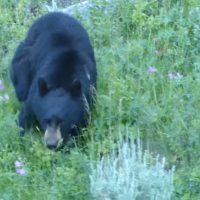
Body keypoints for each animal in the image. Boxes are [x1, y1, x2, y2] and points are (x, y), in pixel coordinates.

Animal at [10, 11, 96, 148]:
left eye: (62, 121)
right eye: (45, 120)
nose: (51, 144)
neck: (61, 79)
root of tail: (55, 12)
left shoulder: (87, 101)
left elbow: (80, 130)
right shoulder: (33, 98)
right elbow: (24, 120)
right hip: (22, 62)